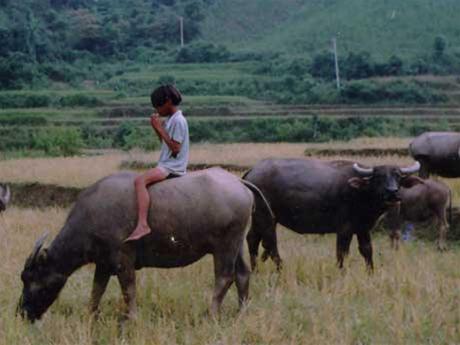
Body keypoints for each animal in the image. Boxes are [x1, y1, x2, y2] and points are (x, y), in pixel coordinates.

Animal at [244, 157, 420, 270]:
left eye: (398, 176)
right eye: (379, 177)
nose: (392, 192)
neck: (360, 192)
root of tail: (252, 172)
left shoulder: (363, 228)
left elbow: (367, 251)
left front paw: (370, 273)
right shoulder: (344, 230)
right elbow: (342, 253)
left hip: (259, 219)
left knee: (252, 239)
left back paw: (255, 270)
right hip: (266, 218)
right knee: (270, 244)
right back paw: (280, 269)